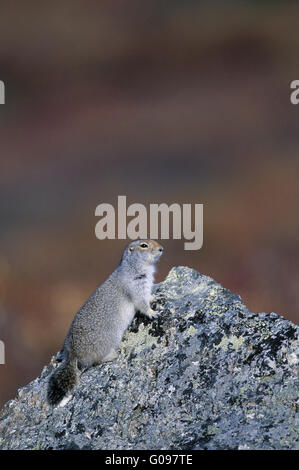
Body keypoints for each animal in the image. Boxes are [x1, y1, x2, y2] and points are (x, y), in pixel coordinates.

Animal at [47, 241, 164, 406]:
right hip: (110, 339)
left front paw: (156, 296)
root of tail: (72, 355)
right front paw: (154, 313)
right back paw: (113, 355)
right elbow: (142, 303)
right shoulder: (136, 286)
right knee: (97, 360)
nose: (161, 249)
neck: (133, 267)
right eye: (144, 245)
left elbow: (148, 296)